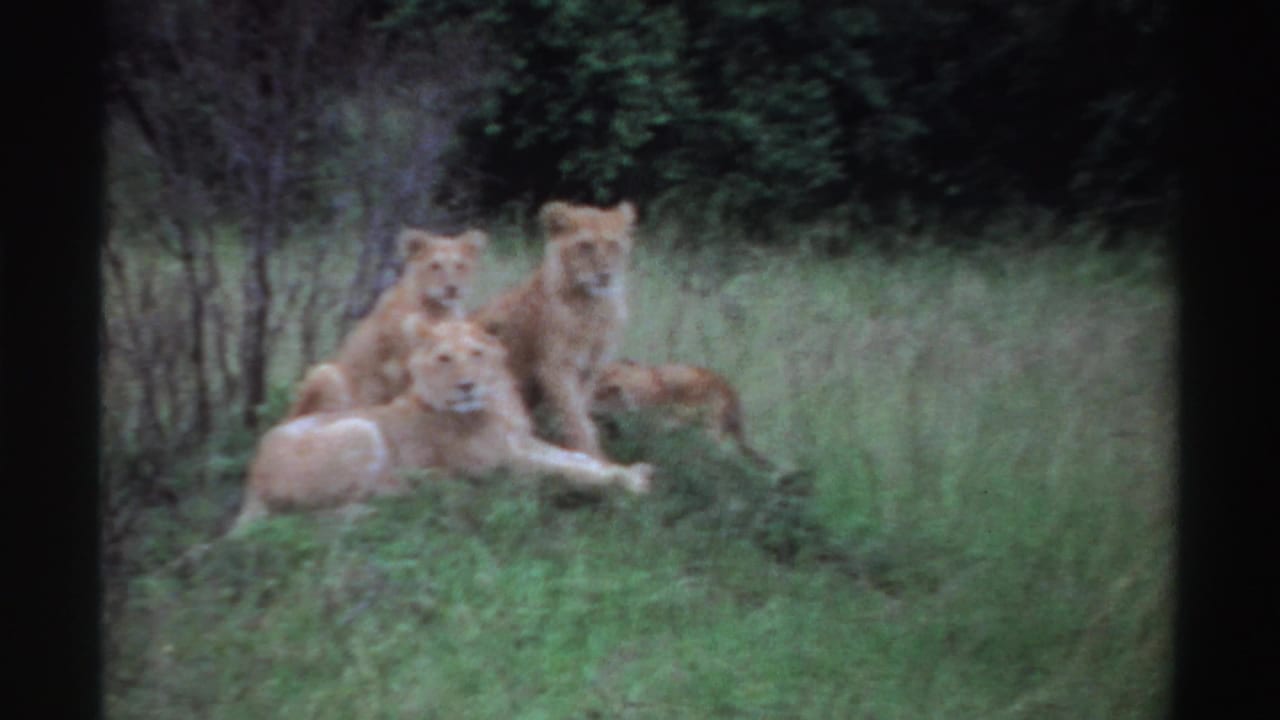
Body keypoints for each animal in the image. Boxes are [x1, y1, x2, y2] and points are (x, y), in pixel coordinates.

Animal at [232, 319, 653, 535]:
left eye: (476, 354)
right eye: (445, 358)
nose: (466, 385)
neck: (496, 402)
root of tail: (251, 478)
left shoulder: (522, 443)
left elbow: (579, 459)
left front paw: (629, 470)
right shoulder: (504, 465)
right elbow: (567, 471)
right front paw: (627, 483)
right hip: (360, 428)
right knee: (311, 515)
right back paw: (408, 493)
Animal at [287, 228, 487, 418]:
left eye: (460, 266)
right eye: (435, 266)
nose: (452, 288)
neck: (439, 309)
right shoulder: (402, 364)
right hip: (326, 372)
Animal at [471, 200, 637, 459]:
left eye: (613, 245)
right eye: (586, 246)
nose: (605, 275)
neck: (594, 307)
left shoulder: (590, 368)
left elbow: (580, 414)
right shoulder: (555, 367)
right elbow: (576, 419)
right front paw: (592, 456)